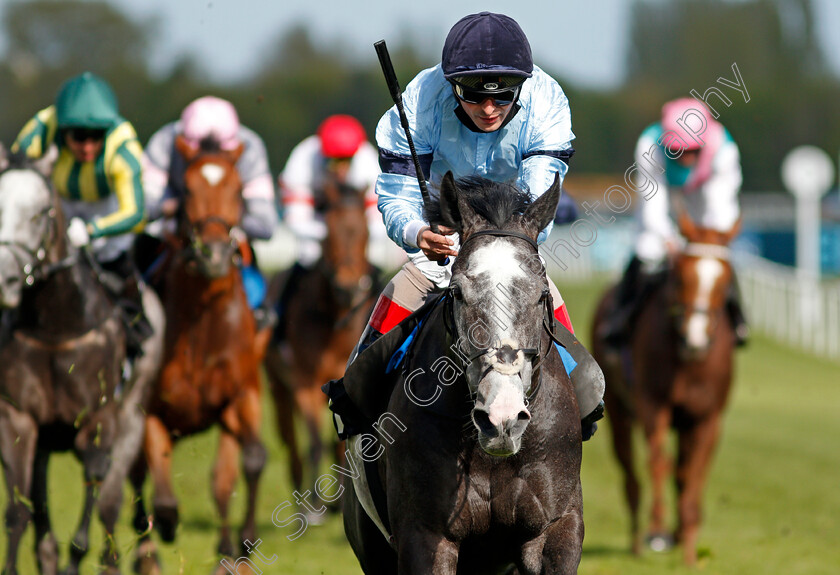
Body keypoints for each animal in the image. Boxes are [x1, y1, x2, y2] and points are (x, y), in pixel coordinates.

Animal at [0, 146, 164, 572]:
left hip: (132, 417)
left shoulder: (98, 422)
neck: (56, 327)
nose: (5, 279)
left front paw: (76, 559)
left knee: (110, 503)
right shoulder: (18, 418)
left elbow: (90, 514)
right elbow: (19, 510)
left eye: (41, 212)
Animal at [130, 137, 272, 572]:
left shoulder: (242, 393)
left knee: (222, 477)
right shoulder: (151, 409)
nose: (212, 255)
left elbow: (251, 460)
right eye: (187, 189)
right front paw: (165, 530)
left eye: (238, 190)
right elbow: (161, 496)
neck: (204, 324)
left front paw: (241, 543)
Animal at [264, 177, 378, 520]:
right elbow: (313, 442)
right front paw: (313, 505)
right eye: (330, 232)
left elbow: (340, 443)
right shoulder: (305, 382)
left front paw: (338, 502)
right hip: (278, 389)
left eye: (364, 232)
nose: (348, 287)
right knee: (291, 443)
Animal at [592, 213, 740, 568]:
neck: (689, 364)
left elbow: (693, 472)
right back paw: (636, 539)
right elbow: (659, 461)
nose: (695, 338)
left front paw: (688, 545)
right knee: (630, 472)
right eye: (682, 276)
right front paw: (658, 531)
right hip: (617, 411)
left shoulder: (707, 418)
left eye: (724, 280)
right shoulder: (652, 405)